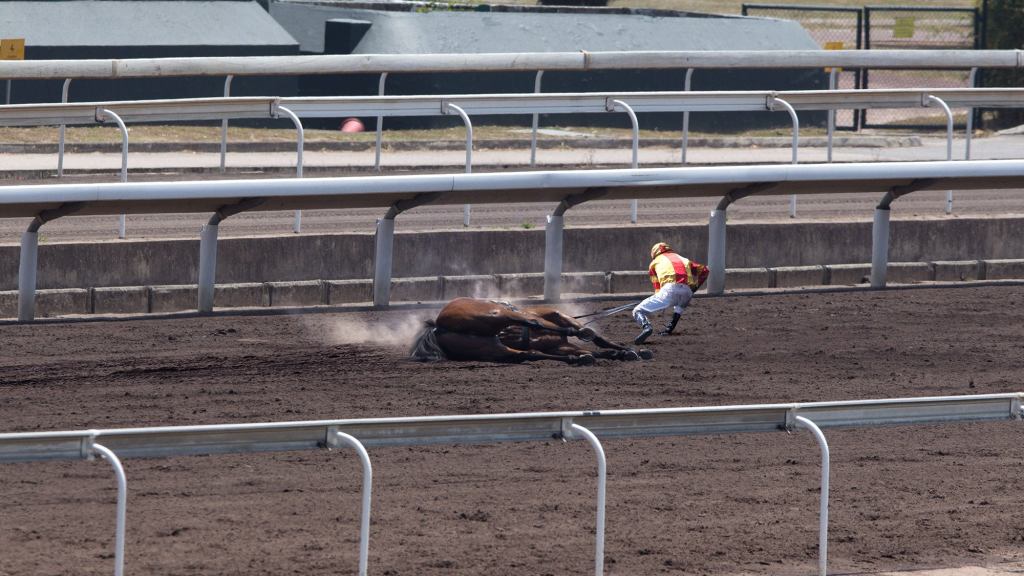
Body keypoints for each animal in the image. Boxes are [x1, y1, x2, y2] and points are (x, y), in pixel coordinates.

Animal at [405, 295, 651, 362]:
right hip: (496, 314)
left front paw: (617, 353)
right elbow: (595, 337)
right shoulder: (558, 316)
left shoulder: (559, 346)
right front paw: (626, 350)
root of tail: (439, 325)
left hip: (488, 347)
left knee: (528, 353)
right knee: (532, 324)